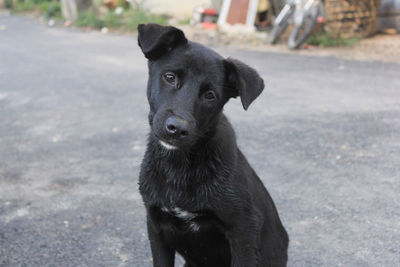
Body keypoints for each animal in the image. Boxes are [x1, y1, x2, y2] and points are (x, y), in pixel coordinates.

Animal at [138, 23, 288, 267]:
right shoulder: (156, 226)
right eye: (170, 77)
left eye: (210, 95)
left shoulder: (244, 230)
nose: (177, 129)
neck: (180, 165)